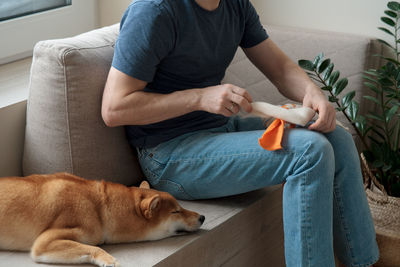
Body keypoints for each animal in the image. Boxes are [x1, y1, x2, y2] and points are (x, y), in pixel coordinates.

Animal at [0, 173, 206, 266]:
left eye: (181, 207)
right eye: (175, 212)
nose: (203, 217)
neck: (99, 207)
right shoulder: (44, 243)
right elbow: (94, 247)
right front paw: (107, 259)